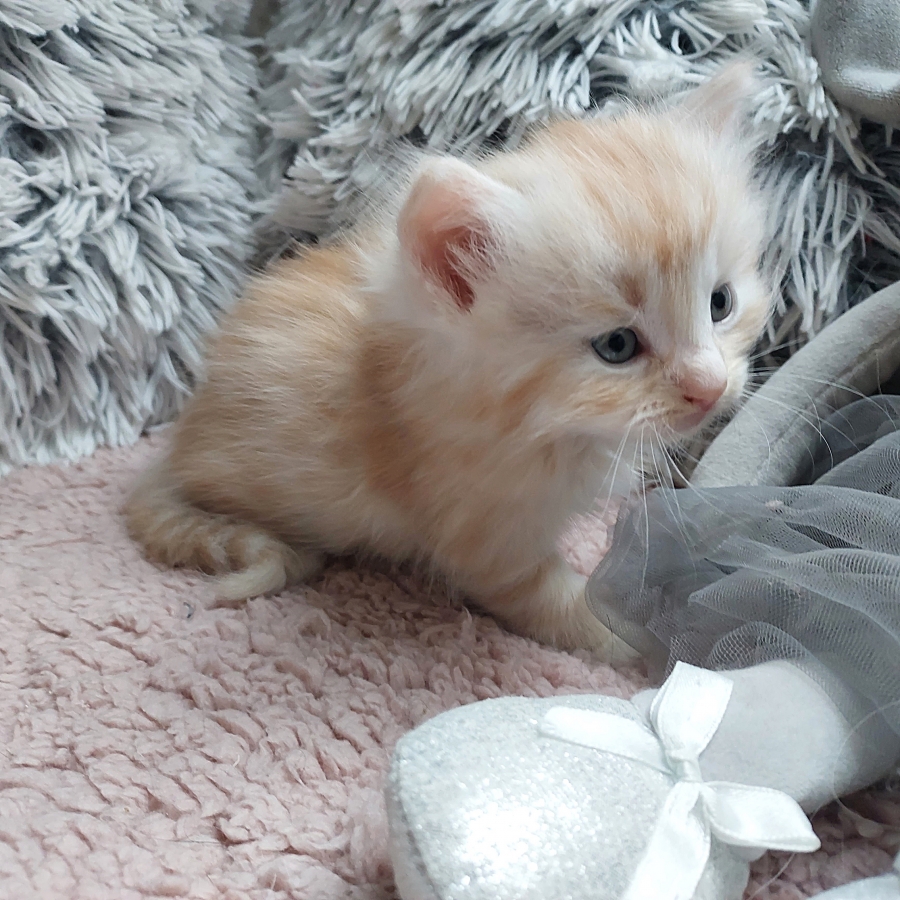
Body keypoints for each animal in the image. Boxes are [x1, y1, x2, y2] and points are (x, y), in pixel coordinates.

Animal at [125, 62, 771, 665]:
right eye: (617, 346)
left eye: (720, 303)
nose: (710, 388)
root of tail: (179, 441)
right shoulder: (486, 533)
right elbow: (560, 603)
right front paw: (646, 642)